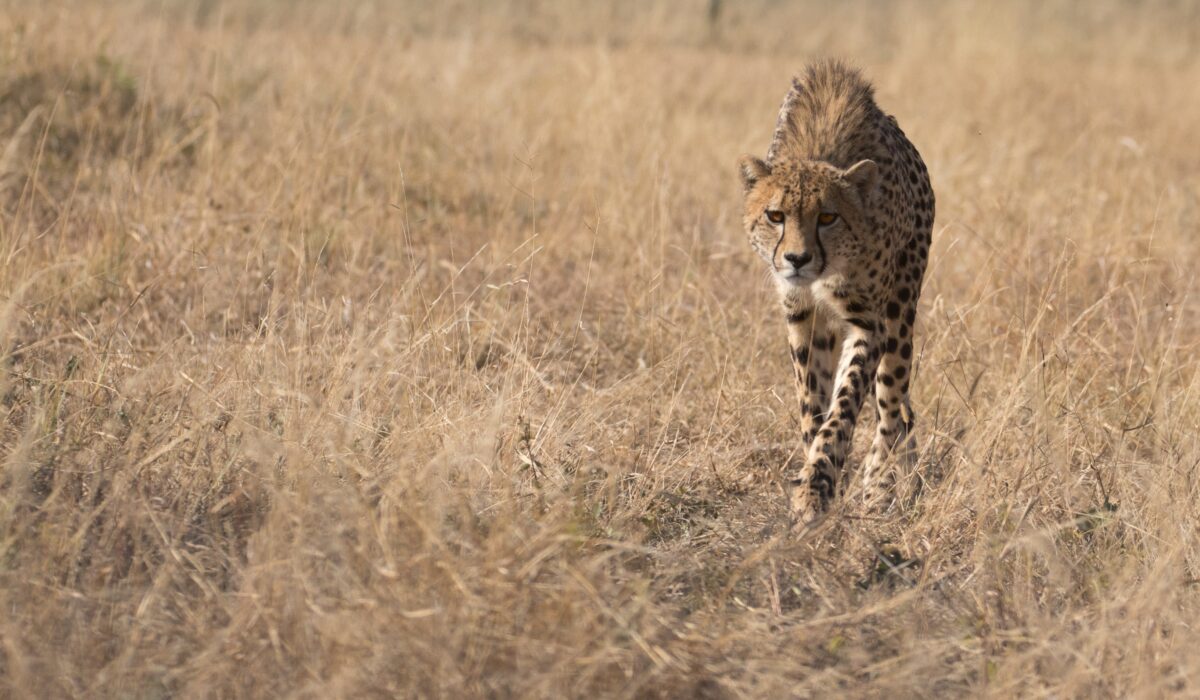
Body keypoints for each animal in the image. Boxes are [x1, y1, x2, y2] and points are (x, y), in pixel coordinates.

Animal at [737, 60, 935, 522]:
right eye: (775, 215)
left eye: (828, 217)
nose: (797, 259)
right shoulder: (802, 316)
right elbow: (812, 403)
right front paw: (818, 475)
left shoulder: (868, 322)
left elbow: (845, 406)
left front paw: (819, 484)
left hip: (900, 312)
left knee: (892, 403)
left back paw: (879, 485)